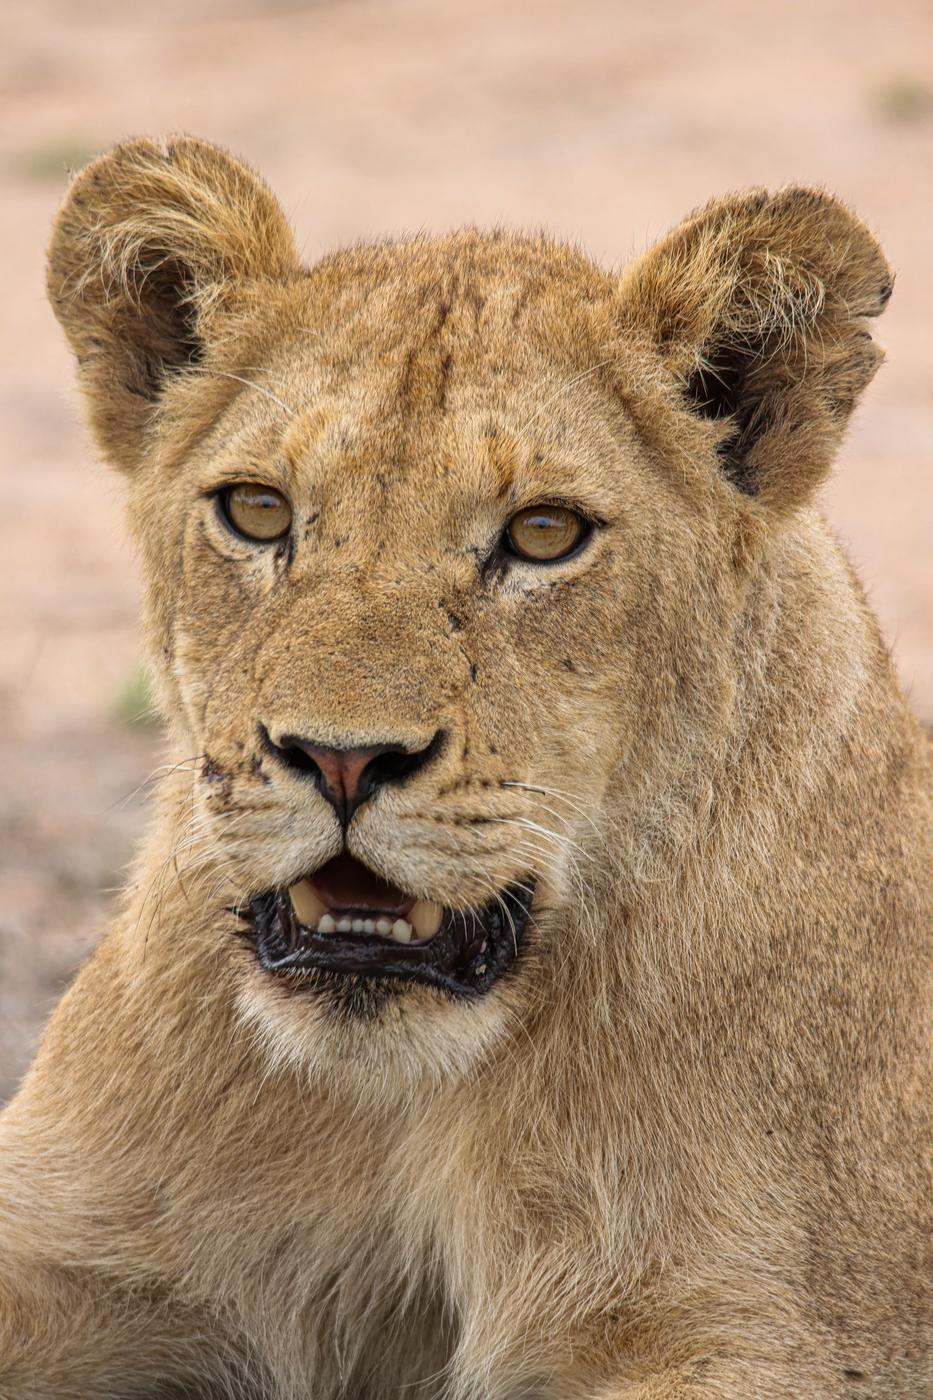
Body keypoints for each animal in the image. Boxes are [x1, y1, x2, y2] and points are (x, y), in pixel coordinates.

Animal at [0, 135, 929, 1399]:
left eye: (543, 534)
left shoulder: (771, 1331)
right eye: (258, 511)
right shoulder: (64, 1241)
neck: (400, 1096)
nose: (341, 758)